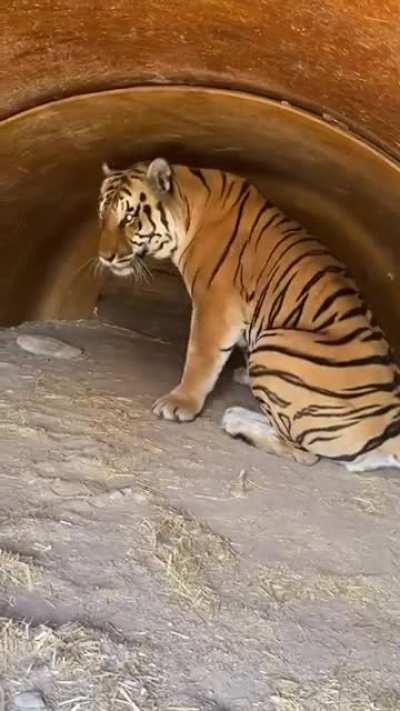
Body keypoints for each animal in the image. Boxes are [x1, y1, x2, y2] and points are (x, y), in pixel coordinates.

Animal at [97, 158, 400, 472]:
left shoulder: (215, 305)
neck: (189, 205)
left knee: (305, 453)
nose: (104, 257)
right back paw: (237, 410)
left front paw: (179, 404)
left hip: (276, 344)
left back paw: (236, 423)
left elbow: (200, 358)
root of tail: (391, 427)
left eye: (129, 218)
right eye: (102, 215)